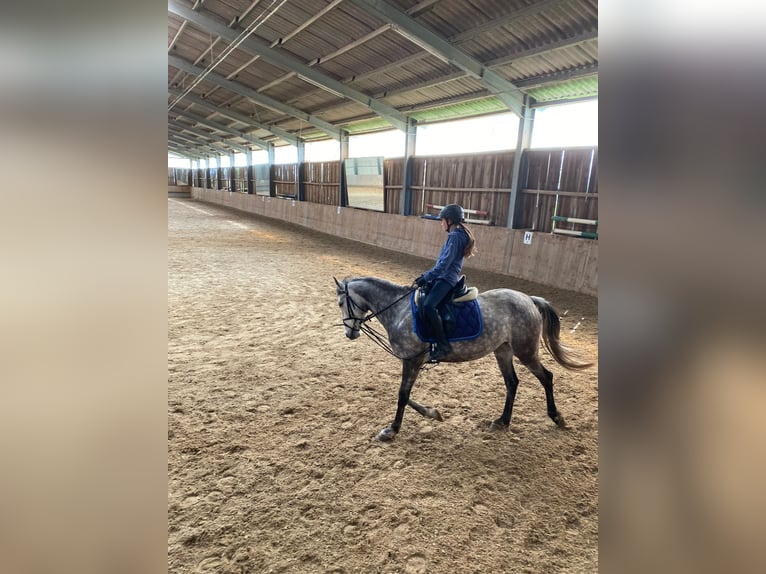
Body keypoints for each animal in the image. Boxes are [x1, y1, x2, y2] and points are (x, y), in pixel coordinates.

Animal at [334, 276, 592, 444]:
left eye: (340, 303)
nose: (350, 333)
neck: (400, 311)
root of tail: (528, 299)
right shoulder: (412, 361)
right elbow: (405, 395)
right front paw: (433, 413)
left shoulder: (412, 360)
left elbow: (402, 395)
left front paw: (392, 429)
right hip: (503, 351)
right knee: (512, 383)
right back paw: (502, 421)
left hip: (525, 351)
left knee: (546, 377)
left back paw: (557, 417)